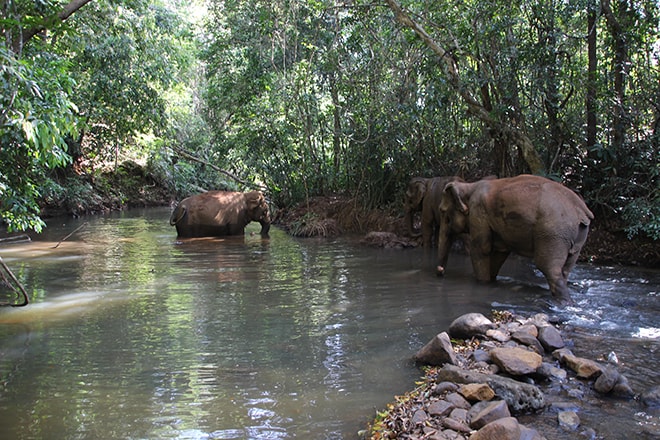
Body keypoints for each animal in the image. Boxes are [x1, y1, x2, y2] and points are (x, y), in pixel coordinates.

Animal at [436, 174, 596, 304]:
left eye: (443, 212)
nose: (440, 271)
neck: (469, 186)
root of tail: (582, 209)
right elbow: (499, 253)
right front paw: (491, 282)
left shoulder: (478, 212)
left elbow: (481, 249)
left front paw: (482, 283)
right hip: (577, 236)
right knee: (565, 269)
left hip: (553, 233)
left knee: (548, 267)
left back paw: (564, 303)